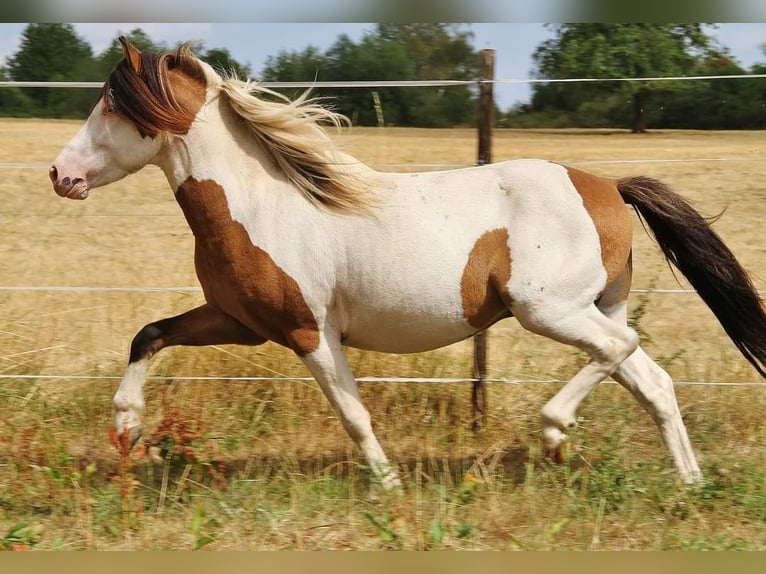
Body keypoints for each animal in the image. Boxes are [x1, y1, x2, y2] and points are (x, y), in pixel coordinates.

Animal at [51, 39, 764, 490]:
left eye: (111, 106)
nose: (60, 175)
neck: (260, 203)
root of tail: (610, 187)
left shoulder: (309, 331)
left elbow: (353, 414)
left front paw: (389, 488)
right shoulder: (241, 321)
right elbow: (148, 334)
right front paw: (126, 427)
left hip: (549, 309)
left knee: (623, 349)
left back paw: (555, 430)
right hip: (593, 308)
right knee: (652, 380)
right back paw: (690, 483)